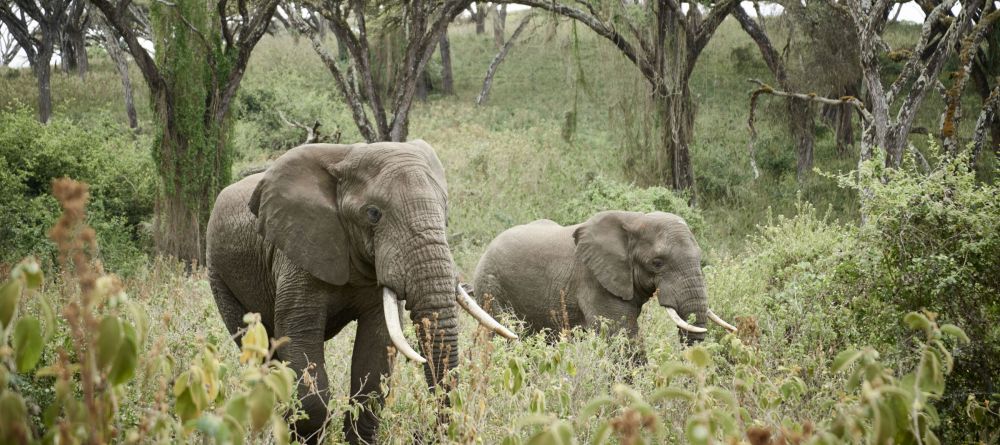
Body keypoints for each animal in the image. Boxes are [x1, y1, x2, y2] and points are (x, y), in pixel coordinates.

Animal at [204, 141, 516, 444]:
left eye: (446, 215)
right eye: (373, 214)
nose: (423, 433)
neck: (349, 156)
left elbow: (377, 347)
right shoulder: (297, 250)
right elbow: (299, 336)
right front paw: (303, 436)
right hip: (219, 272)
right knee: (256, 346)